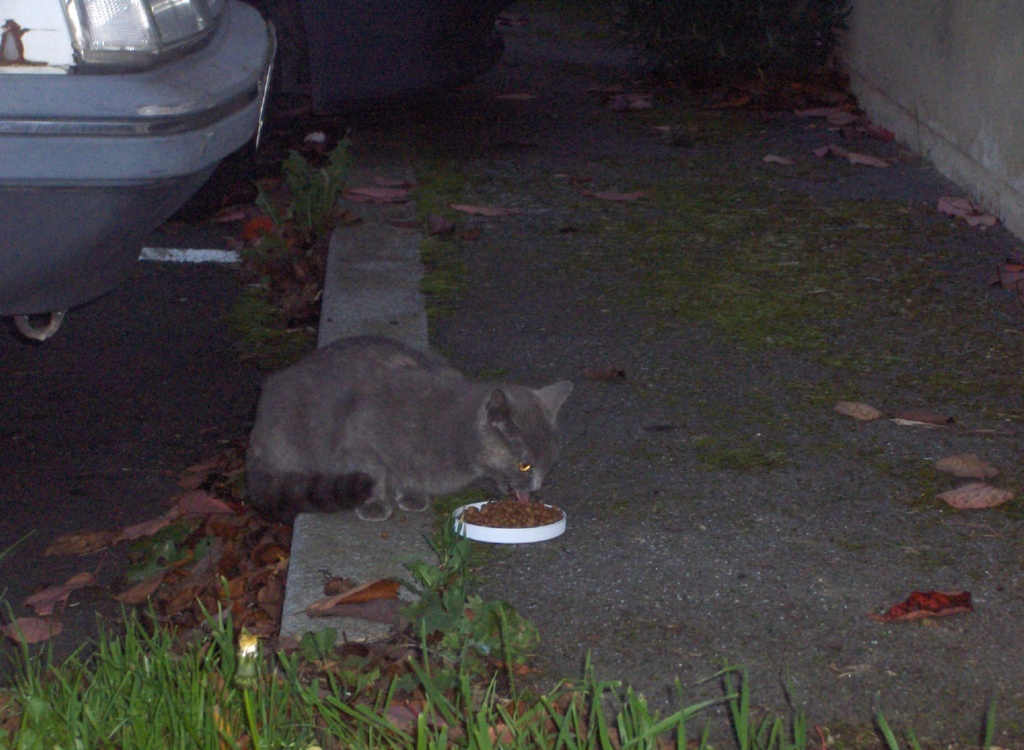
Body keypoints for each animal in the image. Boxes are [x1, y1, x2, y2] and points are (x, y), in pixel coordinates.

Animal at [244, 336, 573, 524]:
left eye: (549, 465)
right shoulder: (361, 439)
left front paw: (413, 495)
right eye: (524, 465)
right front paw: (375, 503)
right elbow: (374, 473)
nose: (535, 488)